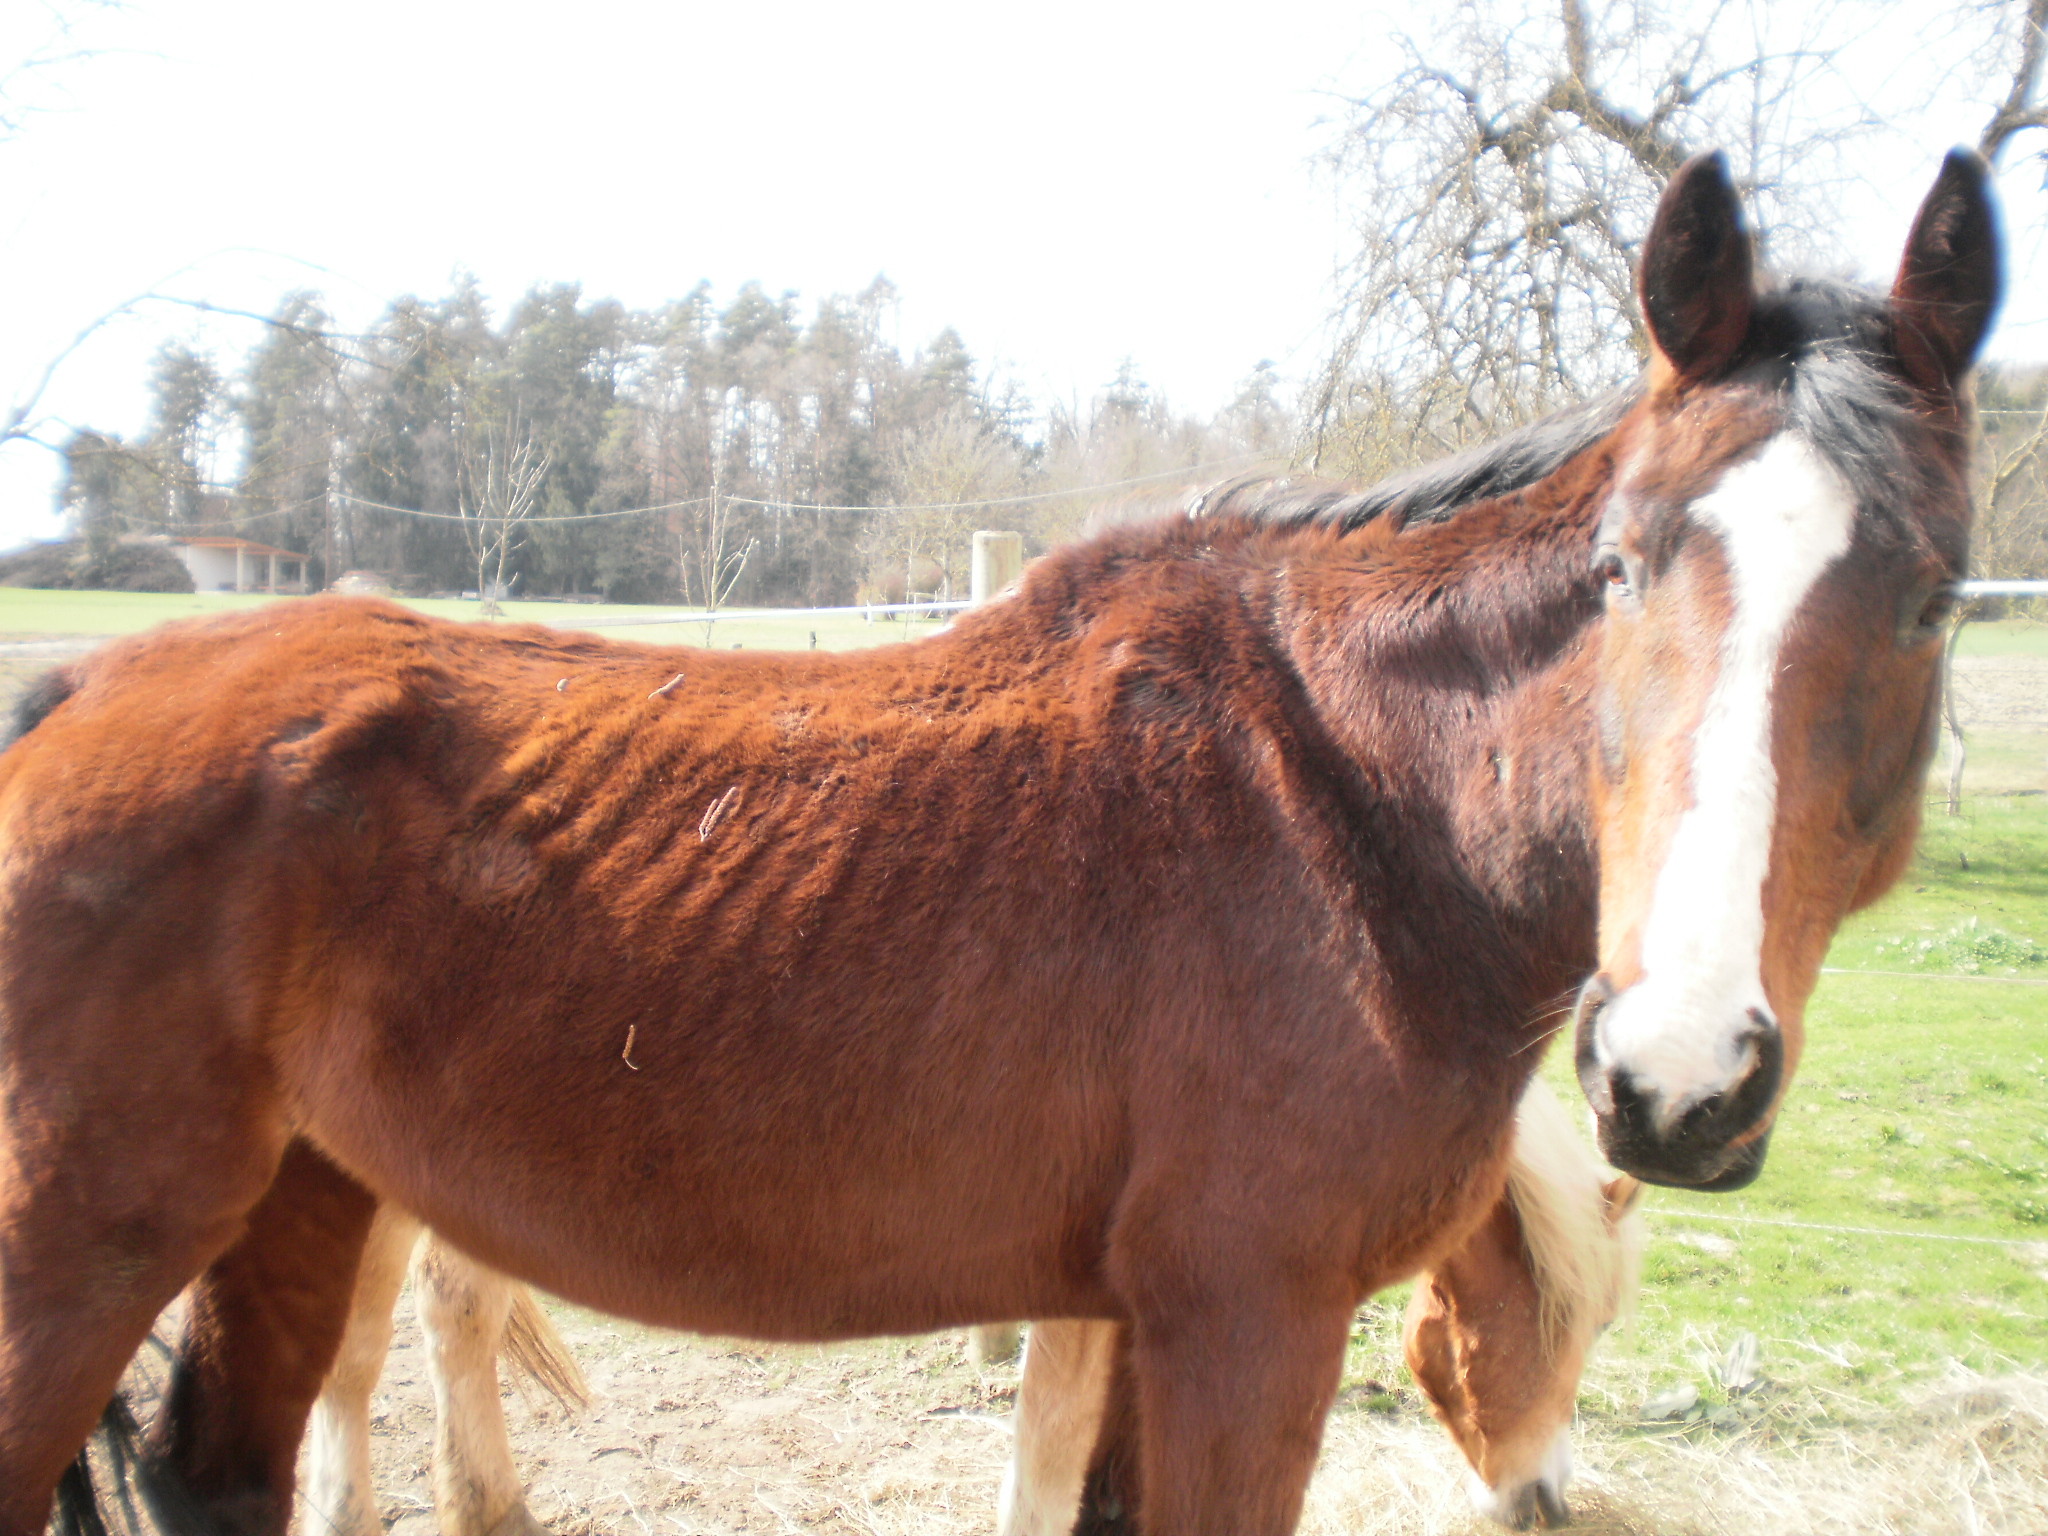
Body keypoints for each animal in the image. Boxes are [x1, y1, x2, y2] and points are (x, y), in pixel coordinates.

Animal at [8, 147, 1990, 1536]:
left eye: (1928, 599)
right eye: (1621, 566)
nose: (1678, 1076)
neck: (1345, 812)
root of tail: (78, 685)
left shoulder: (1126, 1319)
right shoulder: (1242, 1325)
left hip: (300, 1196)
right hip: (84, 1247)